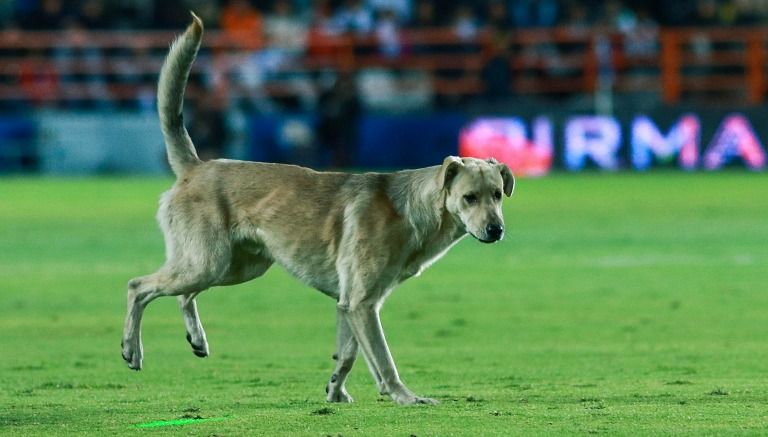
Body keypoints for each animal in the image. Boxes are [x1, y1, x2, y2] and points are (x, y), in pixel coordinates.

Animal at [120, 11, 512, 406]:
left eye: (497, 195)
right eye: (469, 197)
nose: (496, 230)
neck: (408, 211)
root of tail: (196, 167)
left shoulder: (351, 303)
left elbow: (348, 355)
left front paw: (336, 392)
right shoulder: (361, 303)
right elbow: (383, 360)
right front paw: (404, 396)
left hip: (235, 266)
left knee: (182, 294)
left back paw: (197, 340)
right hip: (208, 262)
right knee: (139, 286)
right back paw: (131, 349)